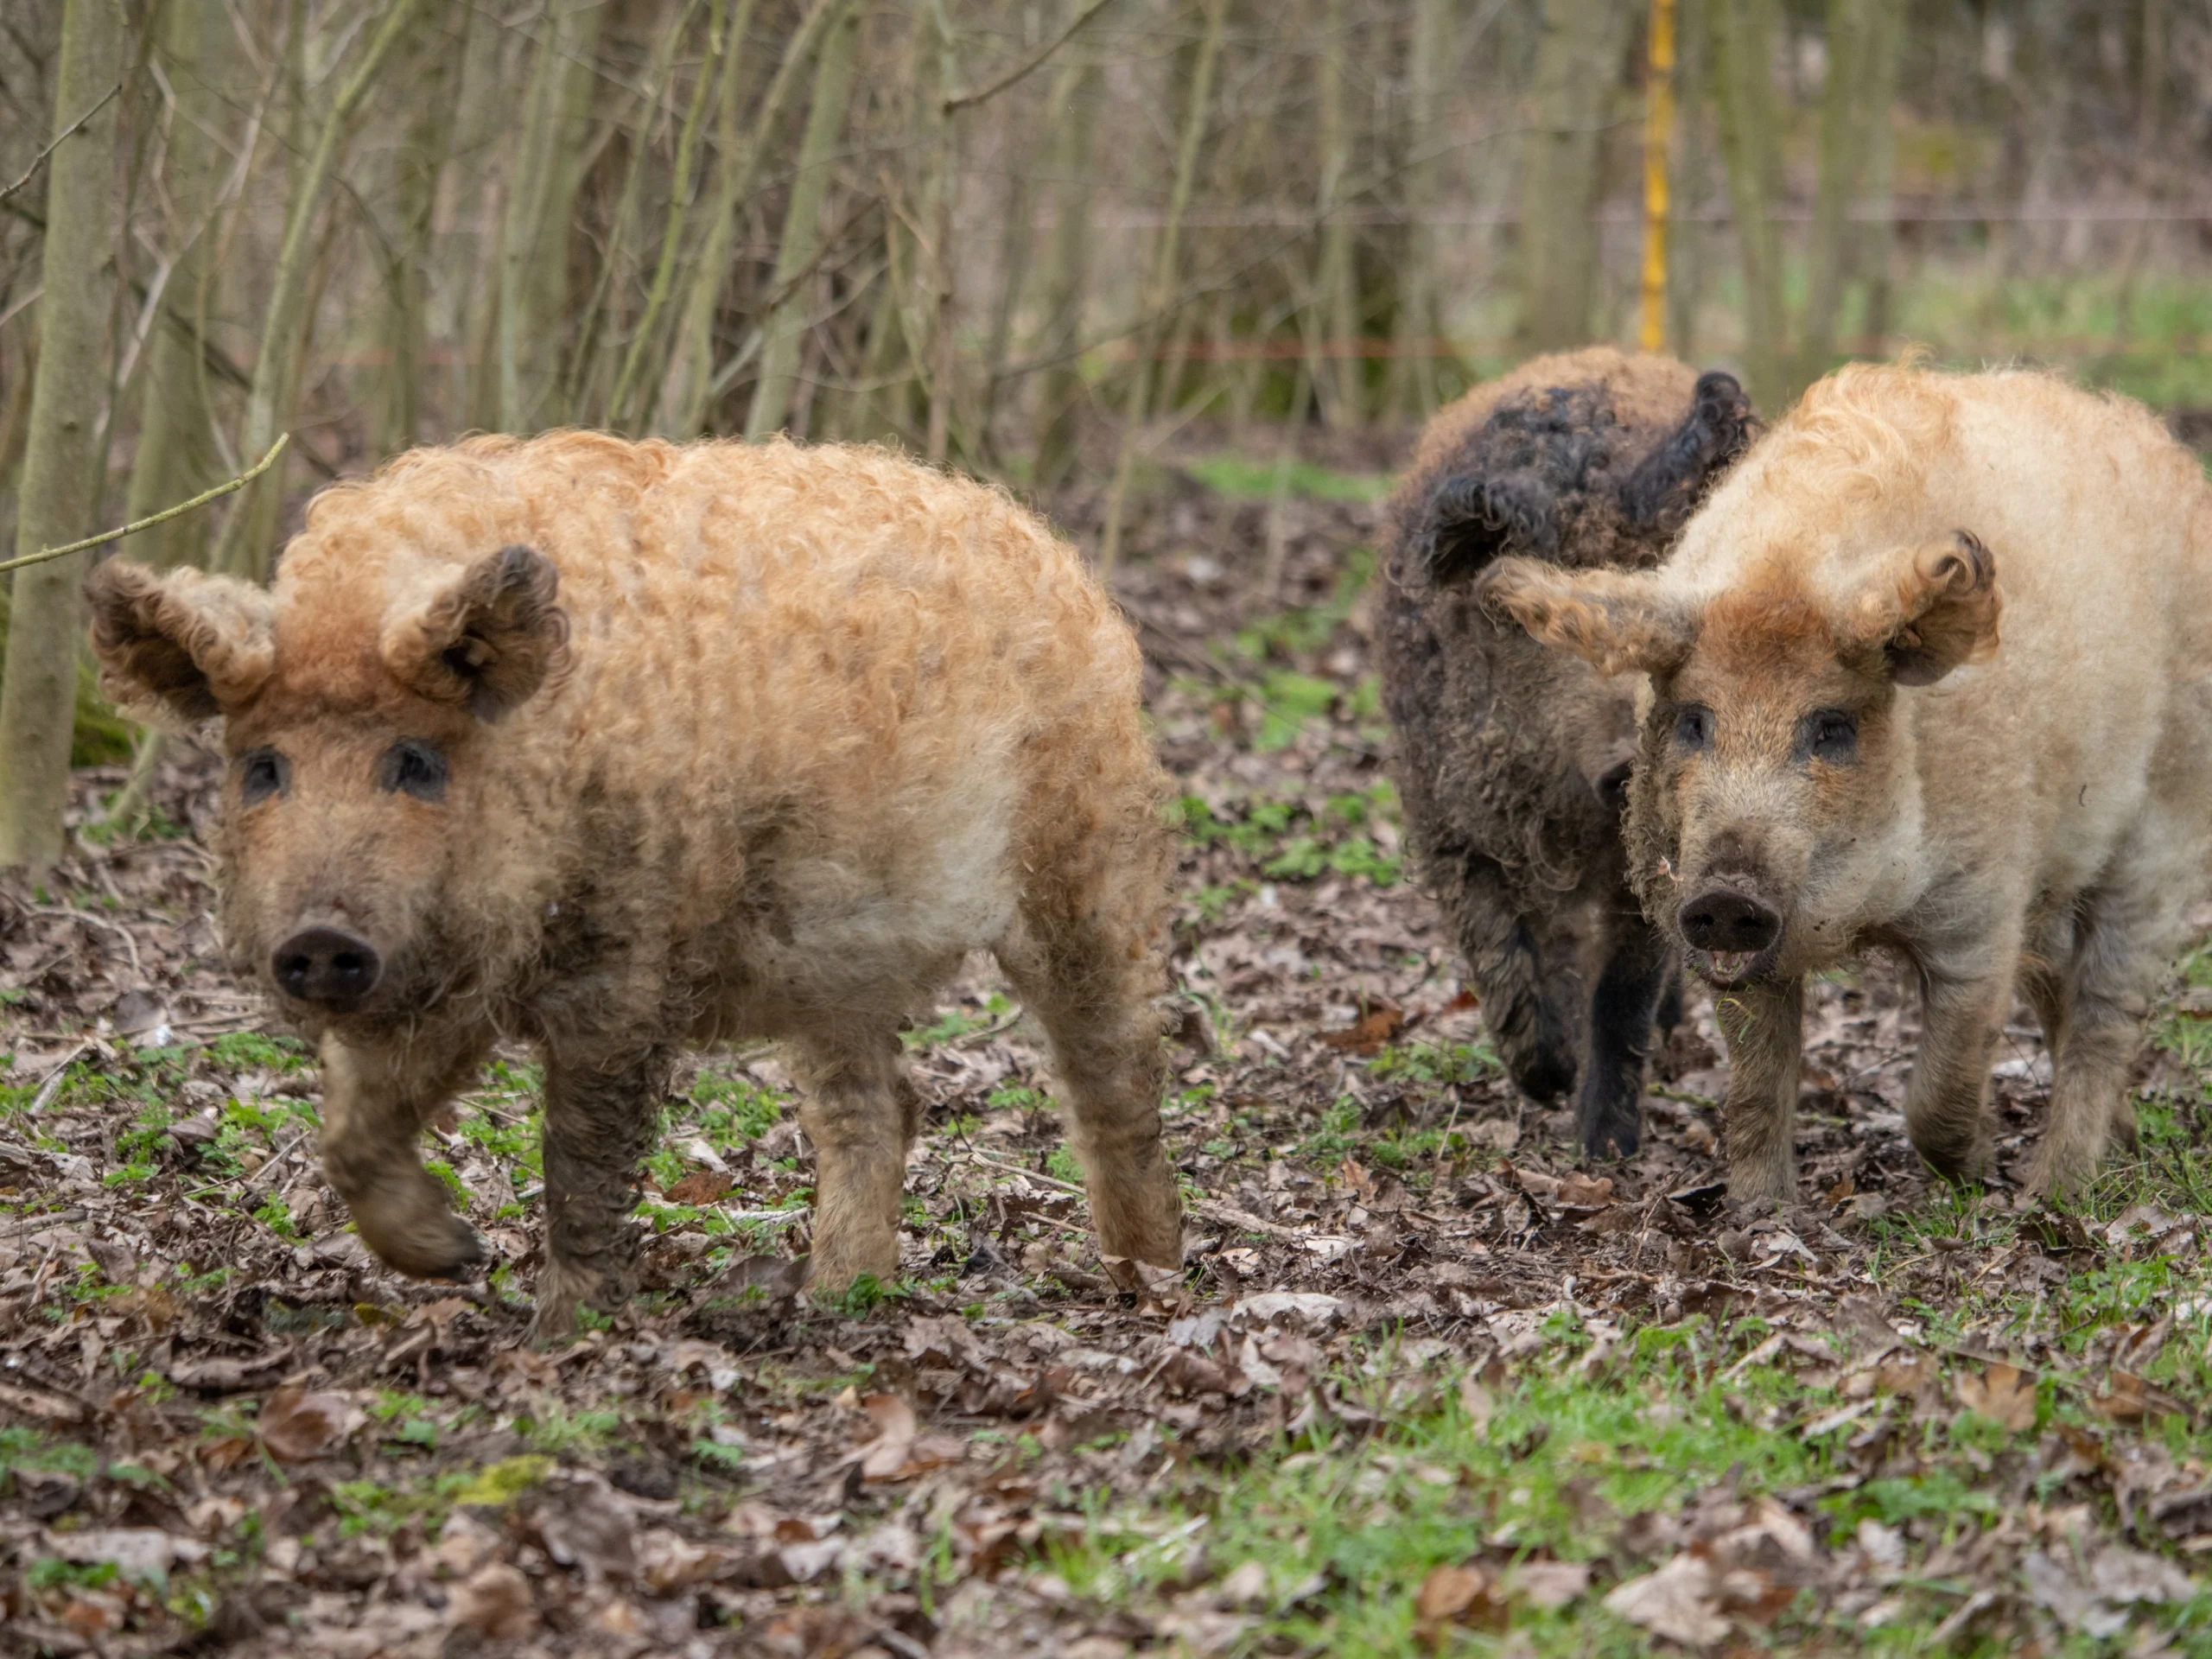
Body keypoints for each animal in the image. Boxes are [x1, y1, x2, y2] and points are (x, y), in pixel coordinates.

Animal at [85, 432, 1186, 1331]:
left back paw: (1147, 1278)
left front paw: (559, 1334)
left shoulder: (626, 960)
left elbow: (582, 1155)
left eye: (415, 762)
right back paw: (834, 1299)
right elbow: (353, 1129)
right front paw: (450, 1257)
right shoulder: (441, 964)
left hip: (1087, 856)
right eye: (264, 767)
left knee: (1114, 1076)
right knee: (875, 1106)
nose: (319, 939)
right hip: (834, 956)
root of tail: (1044, 545)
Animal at [1374, 347, 1755, 1156]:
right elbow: (1498, 949)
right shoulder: (1449, 824)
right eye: (1530, 619)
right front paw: (1546, 1079)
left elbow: (1621, 993)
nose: (1627, 764)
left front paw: (1606, 1147)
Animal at [1482, 363, 2212, 1200]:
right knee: (2061, 989)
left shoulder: (1982, 902)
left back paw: (2056, 1189)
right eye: (1695, 720)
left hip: (2163, 829)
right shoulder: (1721, 938)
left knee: (2105, 1009)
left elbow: (1944, 1080)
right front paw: (1760, 1213)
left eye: (1830, 726)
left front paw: (1975, 1168)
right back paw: (2117, 1147)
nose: (1728, 892)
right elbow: (1758, 1082)